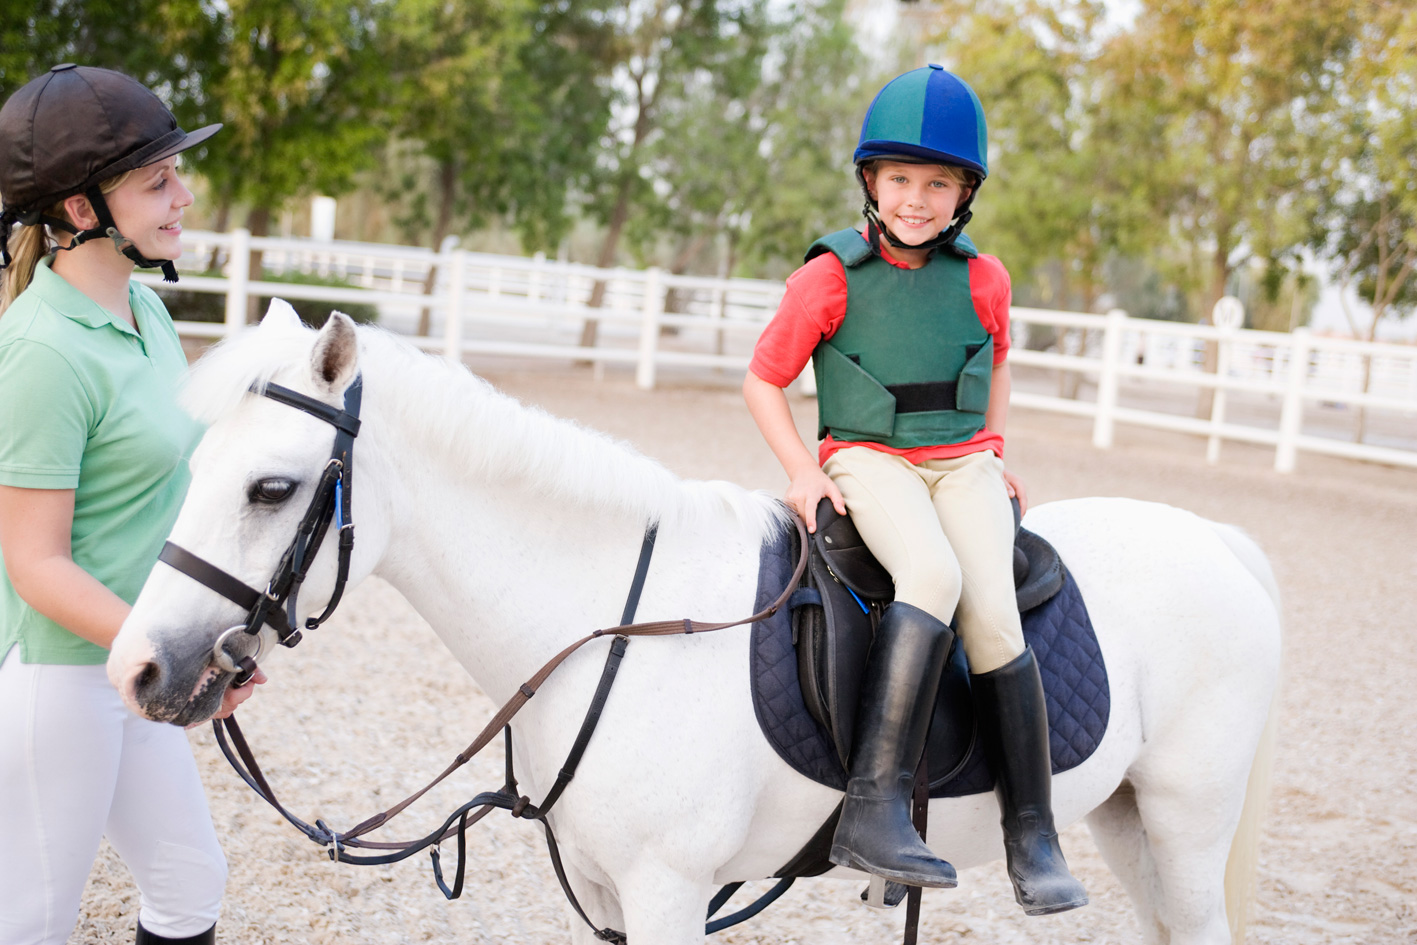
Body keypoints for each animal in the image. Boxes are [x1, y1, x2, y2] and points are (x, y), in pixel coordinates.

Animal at [107, 307, 1286, 940]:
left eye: (269, 488)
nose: (141, 669)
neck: (613, 626)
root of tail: (1221, 542)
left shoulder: (671, 893)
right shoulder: (606, 894)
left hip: (1182, 821)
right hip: (1129, 822)